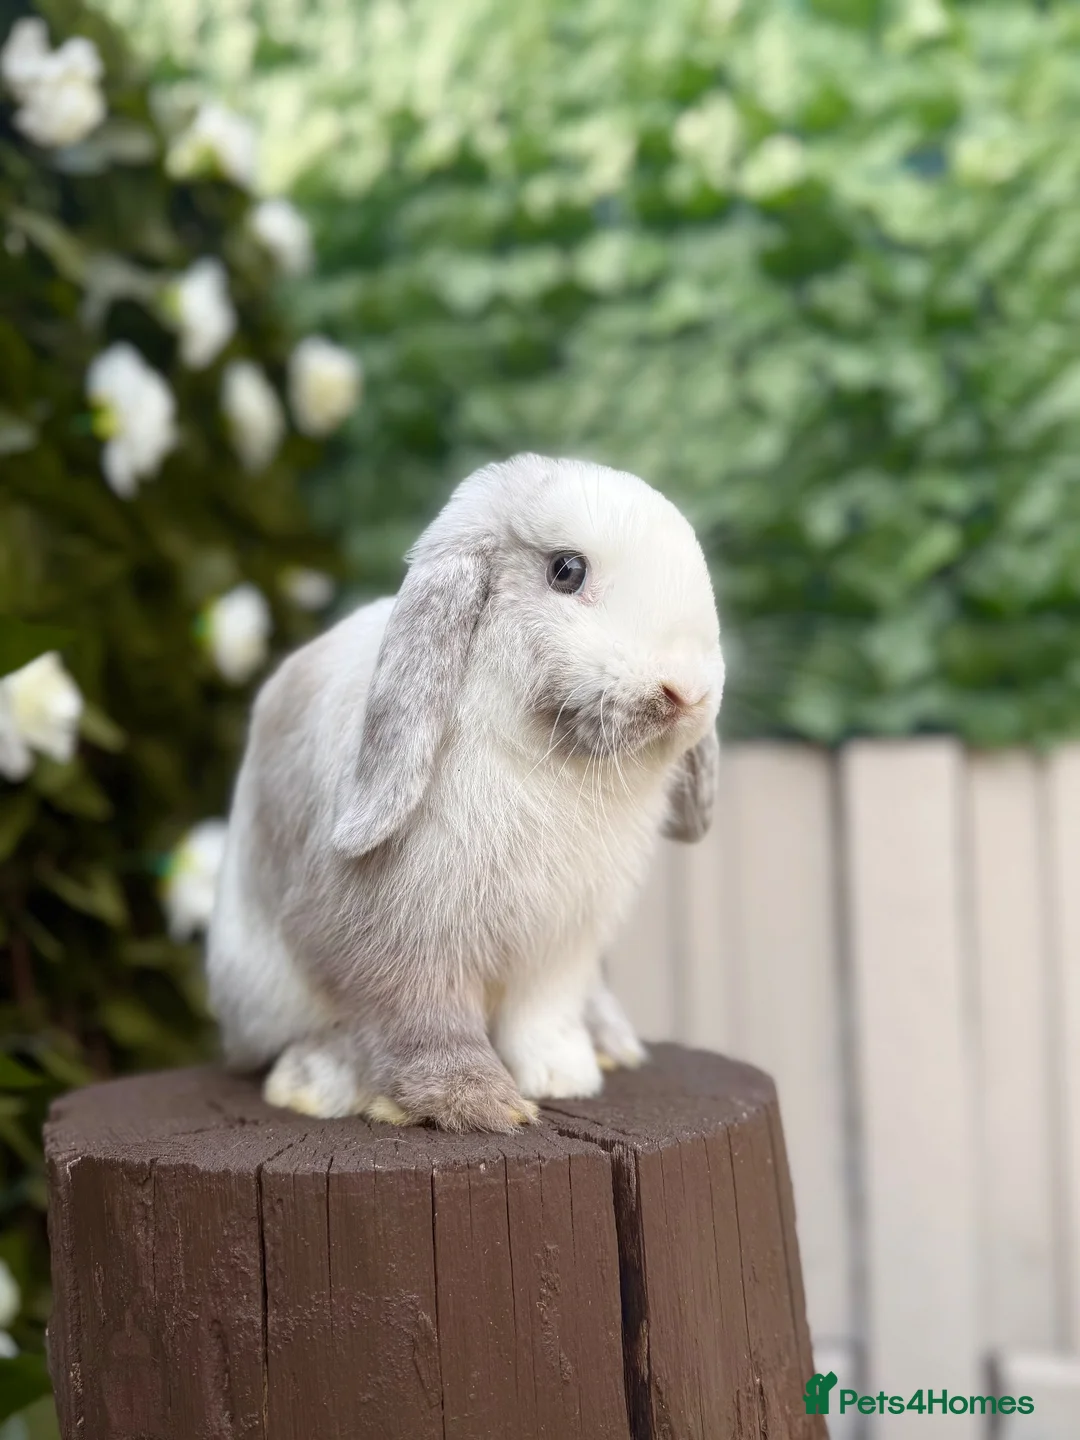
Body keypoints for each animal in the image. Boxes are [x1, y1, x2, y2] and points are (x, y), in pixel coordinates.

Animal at [206, 453, 724, 1132]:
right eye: (567, 570)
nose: (686, 691)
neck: (547, 763)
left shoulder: (561, 947)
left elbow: (543, 1016)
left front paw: (564, 1078)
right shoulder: (404, 942)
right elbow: (425, 1024)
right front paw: (481, 1105)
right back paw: (314, 1082)